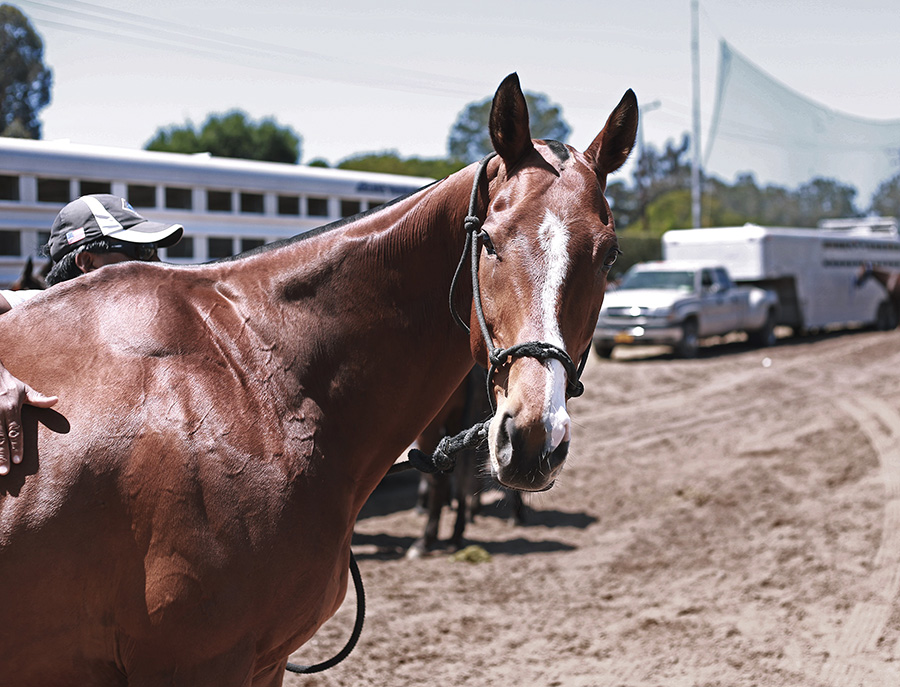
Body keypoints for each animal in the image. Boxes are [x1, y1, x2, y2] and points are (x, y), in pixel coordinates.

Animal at [0, 75, 640, 687]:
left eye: (609, 254)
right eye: (488, 240)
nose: (534, 437)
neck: (251, 378)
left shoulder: (258, 662)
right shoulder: (197, 662)